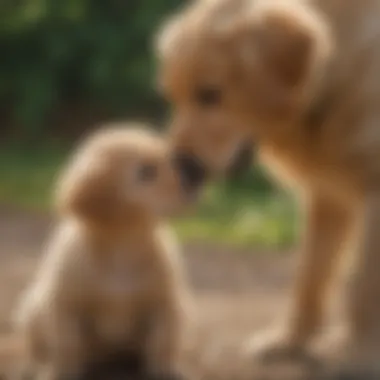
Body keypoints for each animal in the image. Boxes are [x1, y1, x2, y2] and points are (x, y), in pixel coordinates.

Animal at [13, 124, 194, 380]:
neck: (122, 245)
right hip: (32, 308)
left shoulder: (165, 303)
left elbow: (162, 343)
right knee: (39, 348)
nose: (192, 184)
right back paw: (35, 366)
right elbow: (67, 346)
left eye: (169, 161)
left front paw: (166, 370)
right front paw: (60, 372)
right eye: (146, 172)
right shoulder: (65, 304)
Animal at [157, 0, 380, 378]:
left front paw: (361, 357)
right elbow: (310, 277)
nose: (179, 168)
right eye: (175, 96)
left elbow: (364, 293)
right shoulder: (327, 197)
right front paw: (291, 342)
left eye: (210, 95)